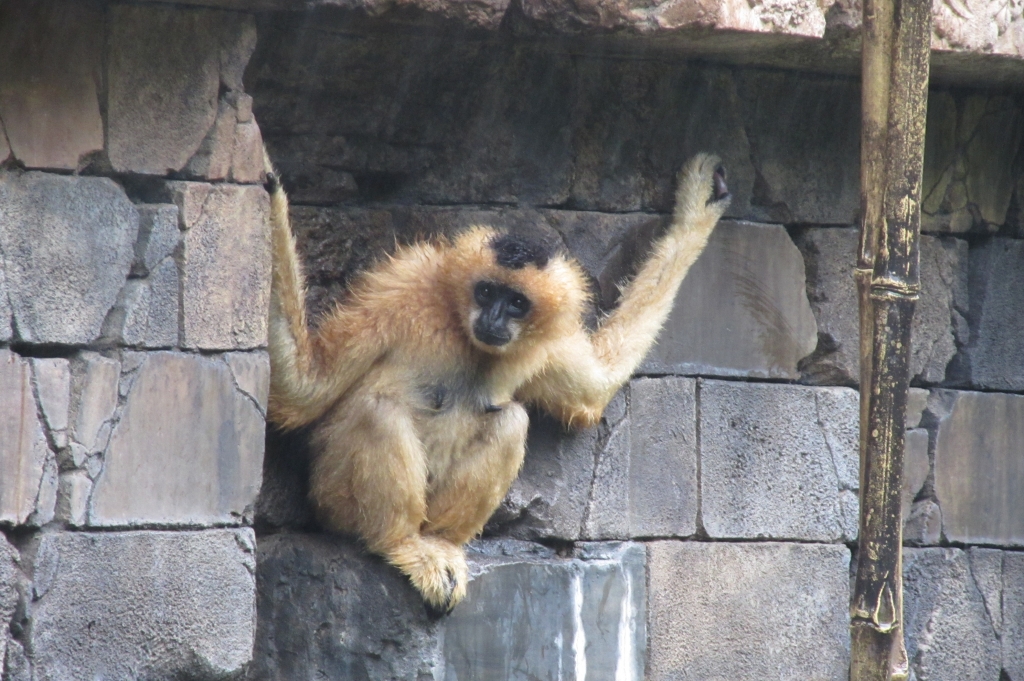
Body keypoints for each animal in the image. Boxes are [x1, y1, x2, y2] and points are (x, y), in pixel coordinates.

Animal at [265, 151, 730, 612]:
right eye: (486, 292)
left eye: (517, 302)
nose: (492, 317)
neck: (459, 328)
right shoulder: (400, 287)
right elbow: (304, 392)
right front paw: (268, 193)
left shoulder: (548, 345)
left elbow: (592, 393)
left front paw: (697, 210)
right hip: (330, 496)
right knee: (378, 410)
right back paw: (402, 541)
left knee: (510, 419)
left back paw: (440, 542)